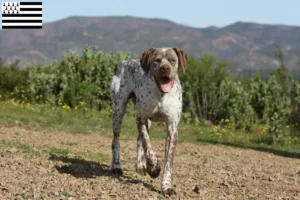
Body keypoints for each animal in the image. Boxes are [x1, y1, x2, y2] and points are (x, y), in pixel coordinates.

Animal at [109, 46, 189, 195]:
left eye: (172, 60)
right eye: (157, 60)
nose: (165, 69)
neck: (161, 95)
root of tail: (124, 62)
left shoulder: (172, 128)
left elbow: (168, 162)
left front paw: (166, 186)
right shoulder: (141, 118)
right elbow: (148, 148)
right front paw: (154, 168)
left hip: (147, 121)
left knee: (138, 139)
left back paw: (141, 165)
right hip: (119, 110)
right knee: (116, 140)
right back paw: (116, 166)